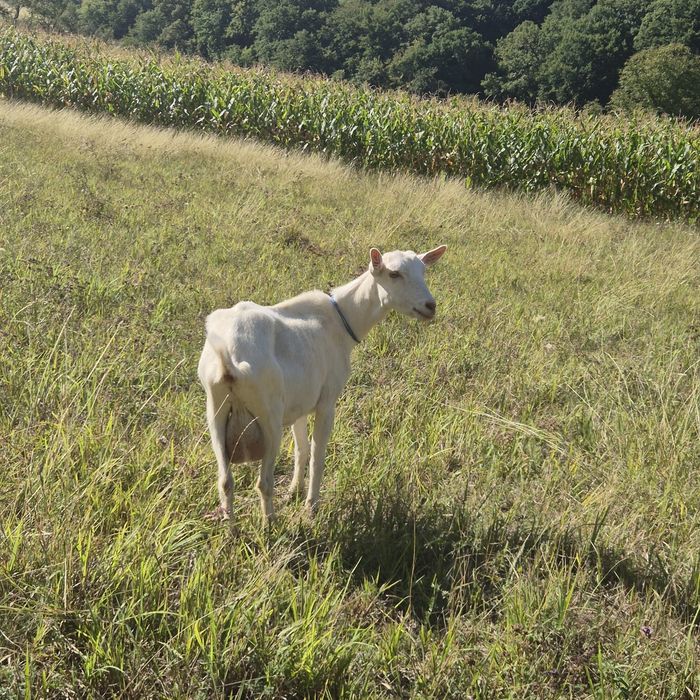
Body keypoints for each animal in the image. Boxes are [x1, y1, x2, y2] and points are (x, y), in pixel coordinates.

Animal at [198, 245, 447, 525]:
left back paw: (232, 530)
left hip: (216, 412)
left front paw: (294, 492)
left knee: (225, 481)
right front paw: (311, 506)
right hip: (268, 416)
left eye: (423, 271)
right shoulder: (326, 401)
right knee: (263, 482)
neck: (342, 320)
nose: (430, 306)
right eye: (394, 274)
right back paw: (270, 525)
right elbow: (317, 454)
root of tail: (229, 357)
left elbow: (302, 449)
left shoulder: (300, 404)